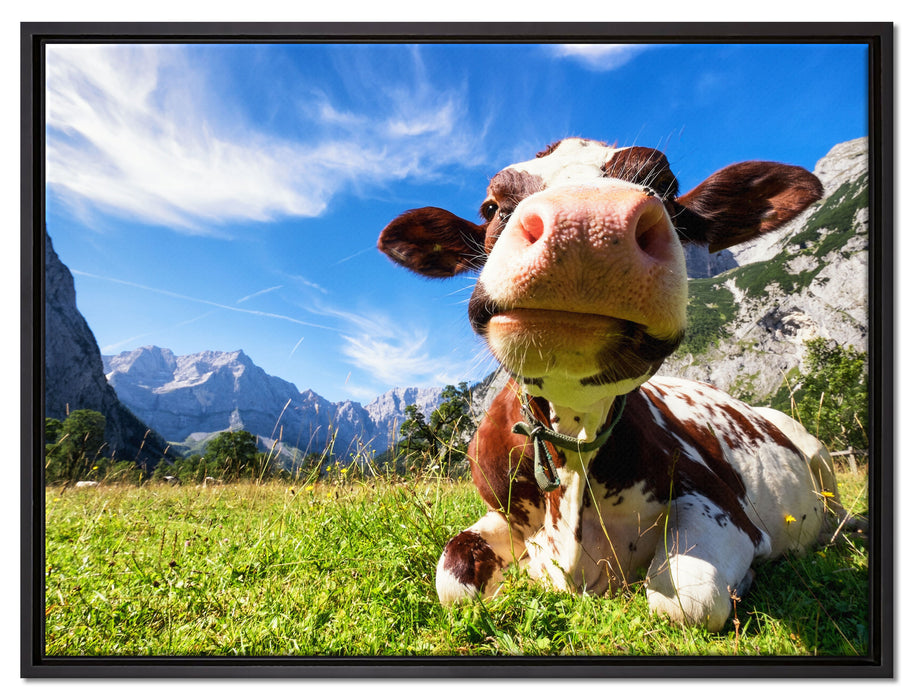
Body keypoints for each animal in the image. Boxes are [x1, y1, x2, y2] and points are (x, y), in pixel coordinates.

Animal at [377, 137, 843, 631]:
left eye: (666, 187)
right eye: (491, 206)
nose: (586, 224)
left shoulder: (722, 504)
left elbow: (686, 600)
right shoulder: (501, 513)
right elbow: (453, 577)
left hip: (818, 455)